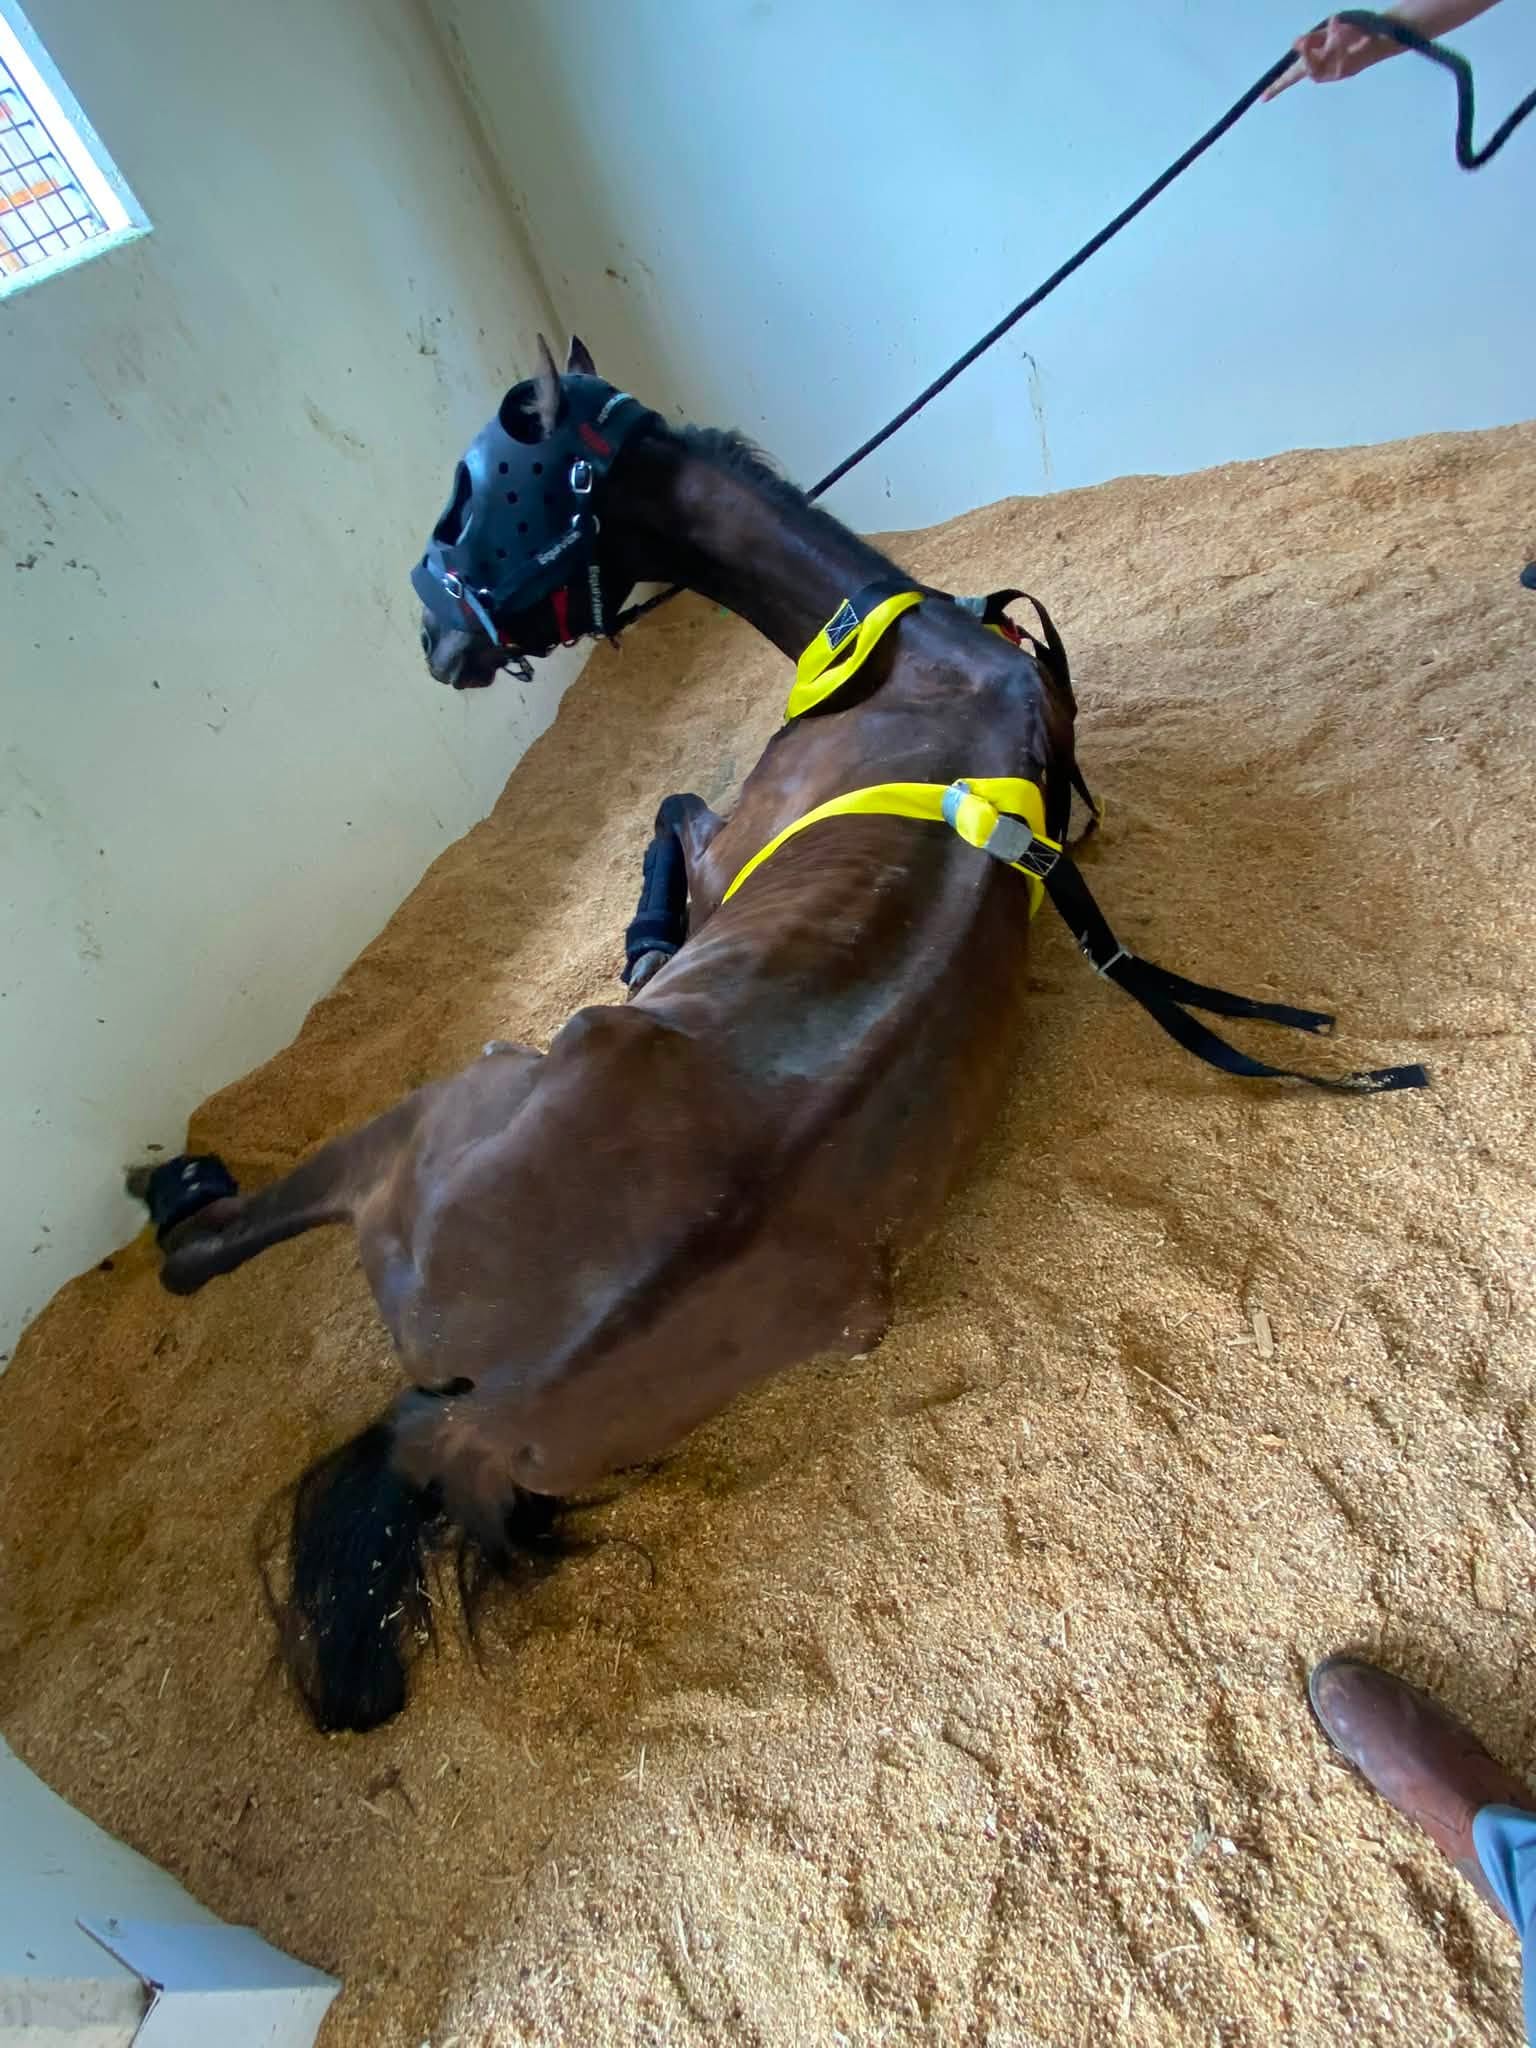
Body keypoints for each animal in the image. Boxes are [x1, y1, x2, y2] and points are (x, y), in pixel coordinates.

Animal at [141, 337, 1422, 1732]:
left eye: (465, 500)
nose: (434, 639)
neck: (906, 645)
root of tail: (482, 1411)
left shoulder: (719, 840)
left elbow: (667, 811)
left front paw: (646, 943)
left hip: (424, 1122)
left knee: (209, 1247)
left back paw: (185, 1195)